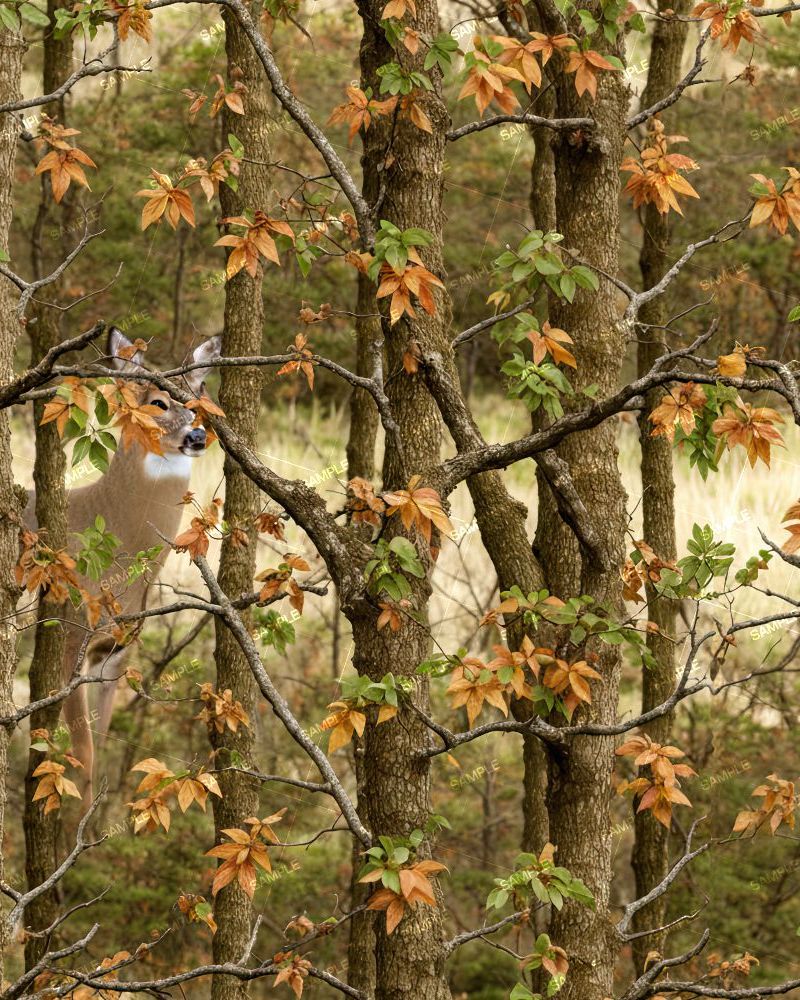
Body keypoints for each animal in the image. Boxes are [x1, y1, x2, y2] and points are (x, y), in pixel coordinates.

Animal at [23, 327, 222, 807]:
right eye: (158, 402)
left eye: (199, 398)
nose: (197, 435)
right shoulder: (68, 634)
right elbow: (83, 760)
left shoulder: (113, 655)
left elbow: (103, 755)